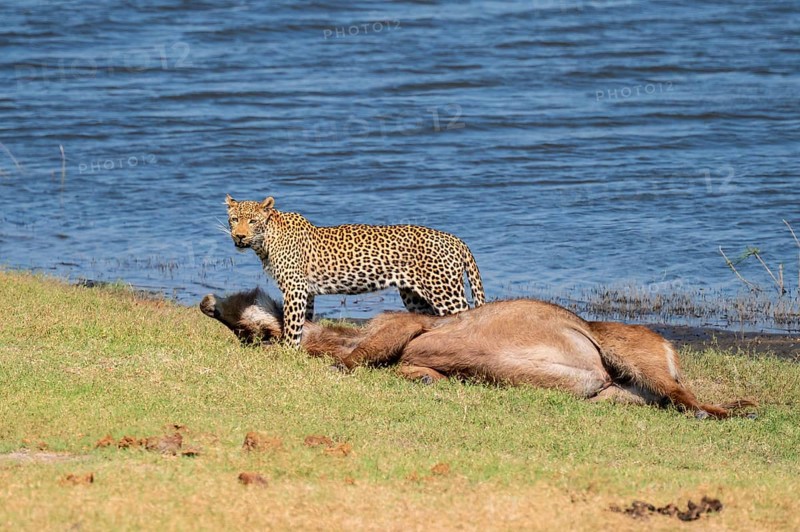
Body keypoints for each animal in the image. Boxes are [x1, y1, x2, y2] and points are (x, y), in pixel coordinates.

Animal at [224, 194, 485, 346]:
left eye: (253, 221)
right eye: (234, 219)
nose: (239, 236)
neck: (266, 240)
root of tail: (456, 239)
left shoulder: (294, 288)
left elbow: (292, 324)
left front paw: (287, 351)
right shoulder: (307, 292)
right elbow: (305, 320)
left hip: (445, 292)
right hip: (415, 297)